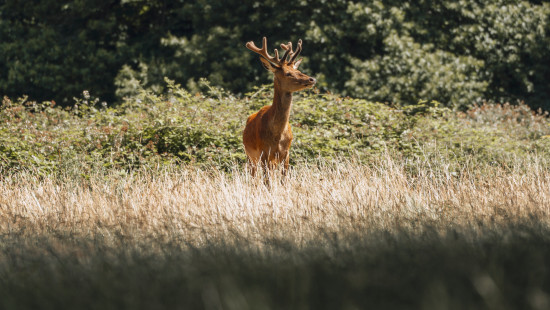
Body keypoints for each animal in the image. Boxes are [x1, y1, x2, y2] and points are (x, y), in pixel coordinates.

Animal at [244, 37, 316, 177]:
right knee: (253, 176)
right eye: (288, 73)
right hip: (250, 156)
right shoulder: (264, 153)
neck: (277, 135)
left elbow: (284, 178)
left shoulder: (286, 153)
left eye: (298, 70)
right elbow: (266, 180)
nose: (312, 79)